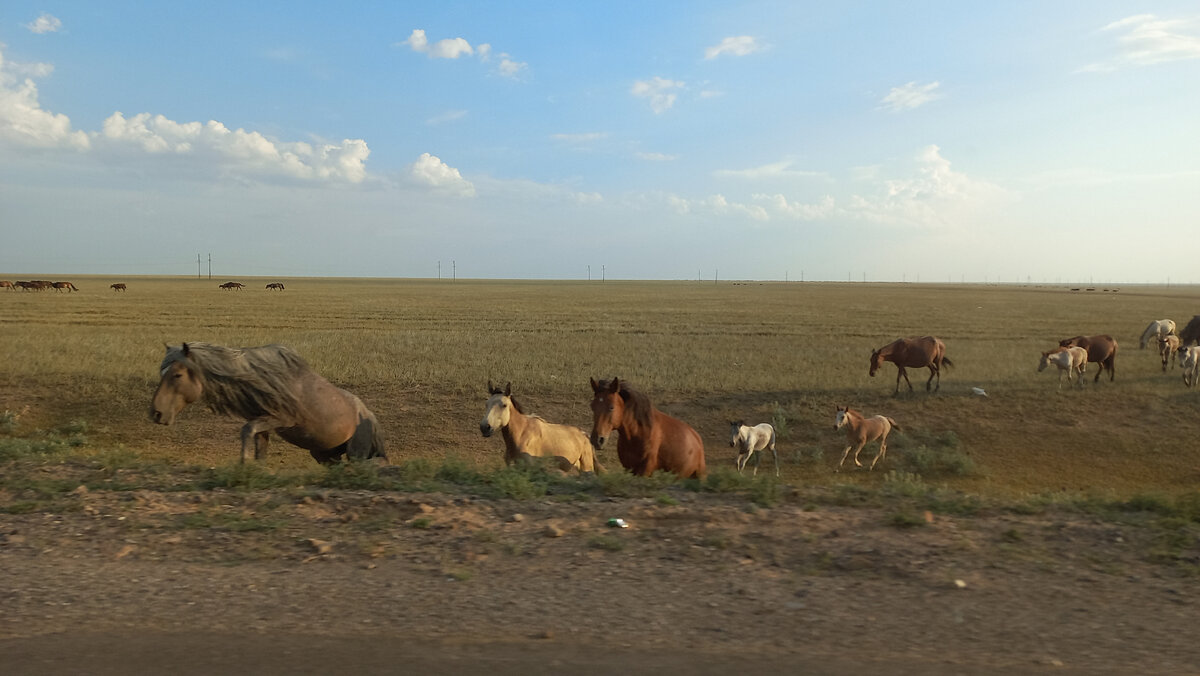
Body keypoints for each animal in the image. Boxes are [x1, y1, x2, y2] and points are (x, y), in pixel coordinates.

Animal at [148, 343, 384, 465]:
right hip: (324, 454)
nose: (156, 414)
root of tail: (370, 417)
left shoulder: (283, 419)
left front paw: (244, 462)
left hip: (356, 454)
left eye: (177, 374)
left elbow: (246, 430)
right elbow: (259, 448)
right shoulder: (263, 424)